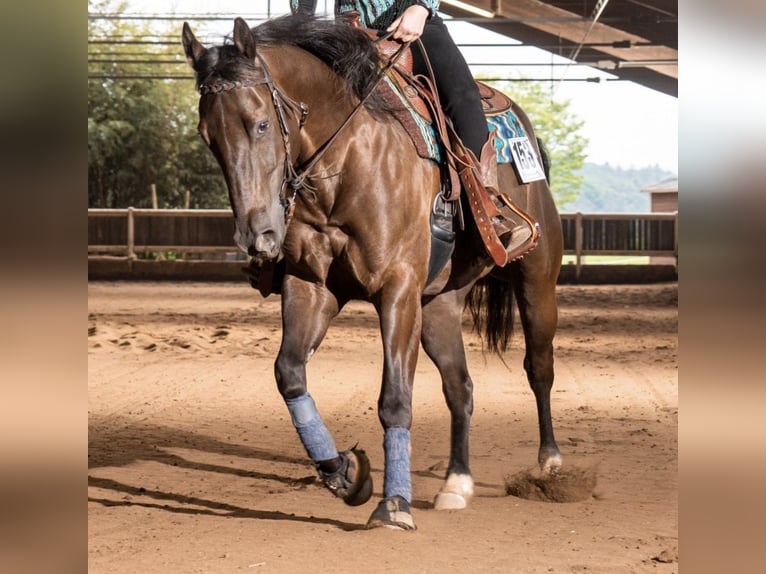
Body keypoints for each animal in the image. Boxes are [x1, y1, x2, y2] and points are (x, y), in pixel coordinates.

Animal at [182, 13, 564, 532]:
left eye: (260, 124)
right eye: (208, 136)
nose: (258, 236)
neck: (346, 161)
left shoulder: (397, 288)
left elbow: (395, 399)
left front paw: (394, 504)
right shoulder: (312, 287)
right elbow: (290, 375)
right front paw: (345, 474)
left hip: (537, 283)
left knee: (538, 368)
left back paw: (550, 464)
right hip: (438, 305)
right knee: (459, 387)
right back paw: (456, 483)